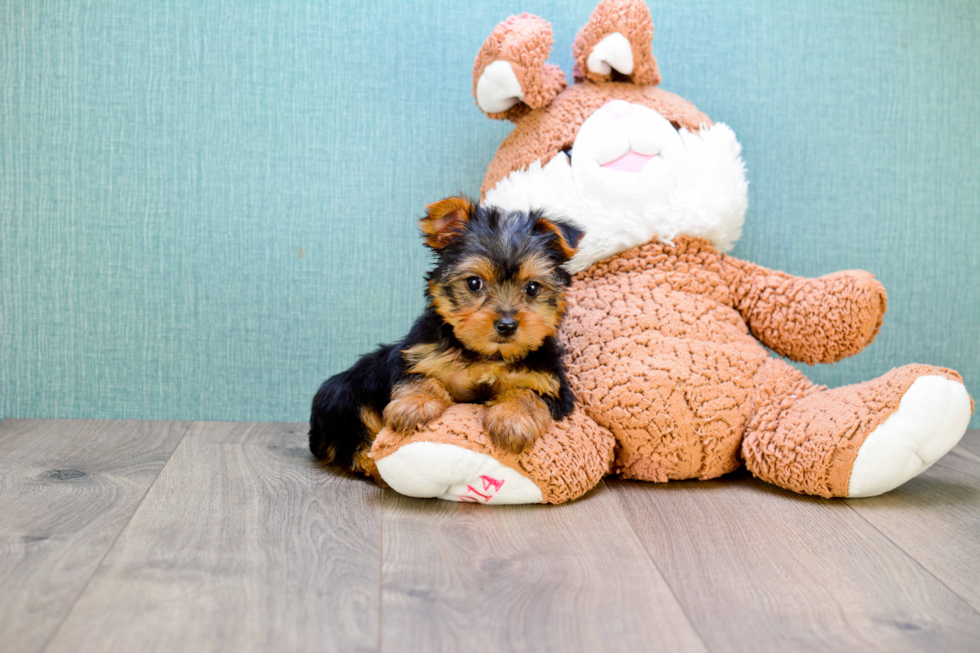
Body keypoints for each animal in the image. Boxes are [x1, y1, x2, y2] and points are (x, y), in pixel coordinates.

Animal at [308, 195, 580, 474]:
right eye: (474, 283)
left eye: (533, 288)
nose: (506, 325)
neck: (485, 355)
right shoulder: (418, 356)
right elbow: (419, 377)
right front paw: (414, 405)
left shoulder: (549, 383)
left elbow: (528, 394)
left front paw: (513, 419)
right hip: (344, 394)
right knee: (356, 443)